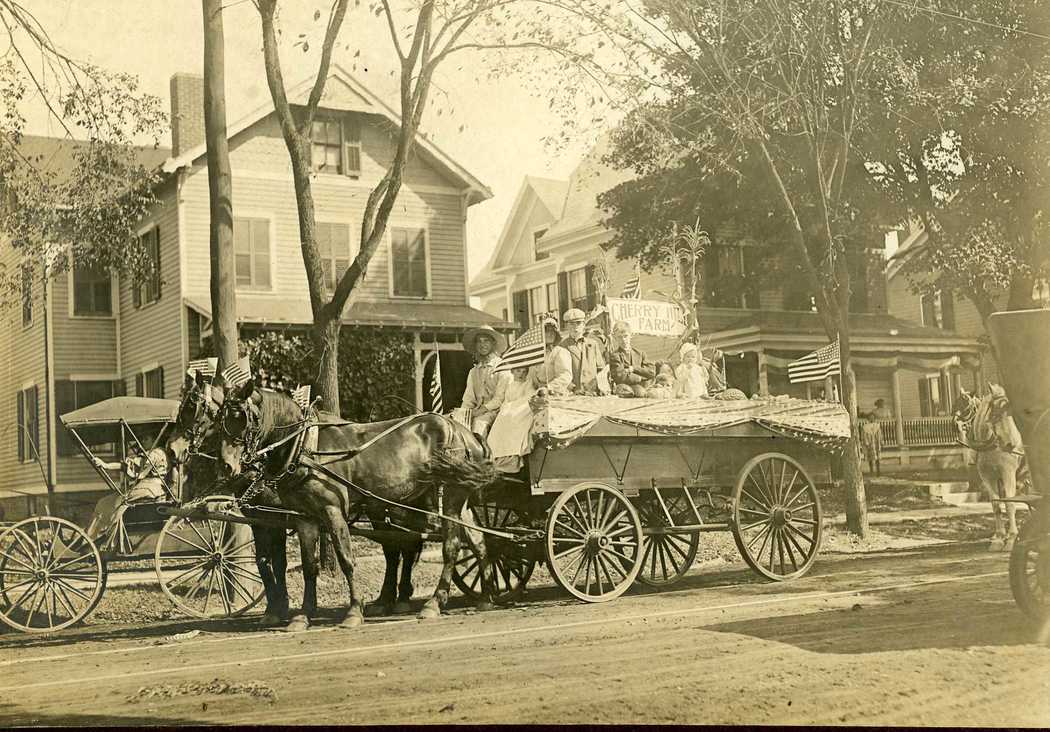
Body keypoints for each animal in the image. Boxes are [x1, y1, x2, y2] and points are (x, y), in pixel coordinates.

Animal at [213, 375, 499, 630]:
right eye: (220, 418)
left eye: (241, 416)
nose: (227, 466)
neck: (304, 446)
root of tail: (465, 433)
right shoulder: (304, 517)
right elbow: (309, 566)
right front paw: (303, 615)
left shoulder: (332, 511)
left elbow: (345, 559)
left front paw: (353, 611)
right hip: (457, 503)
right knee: (479, 542)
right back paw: (486, 596)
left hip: (450, 497)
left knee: (450, 547)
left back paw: (434, 603)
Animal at [957, 388, 1020, 546]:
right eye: (955, 403)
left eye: (967, 406)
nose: (957, 425)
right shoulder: (987, 477)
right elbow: (996, 505)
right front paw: (999, 537)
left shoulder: (1008, 473)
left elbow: (1010, 504)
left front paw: (1012, 536)